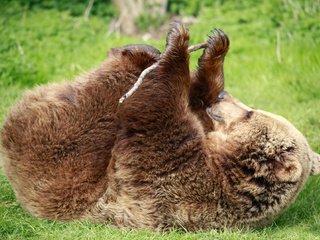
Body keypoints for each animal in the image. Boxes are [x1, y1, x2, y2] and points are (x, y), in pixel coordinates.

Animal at [0, 22, 320, 231]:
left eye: (250, 113)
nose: (224, 97)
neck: (223, 163)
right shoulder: (202, 137)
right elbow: (193, 101)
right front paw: (214, 48)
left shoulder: (174, 182)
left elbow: (154, 115)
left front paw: (178, 44)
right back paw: (141, 49)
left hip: (61, 163)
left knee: (91, 110)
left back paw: (134, 55)